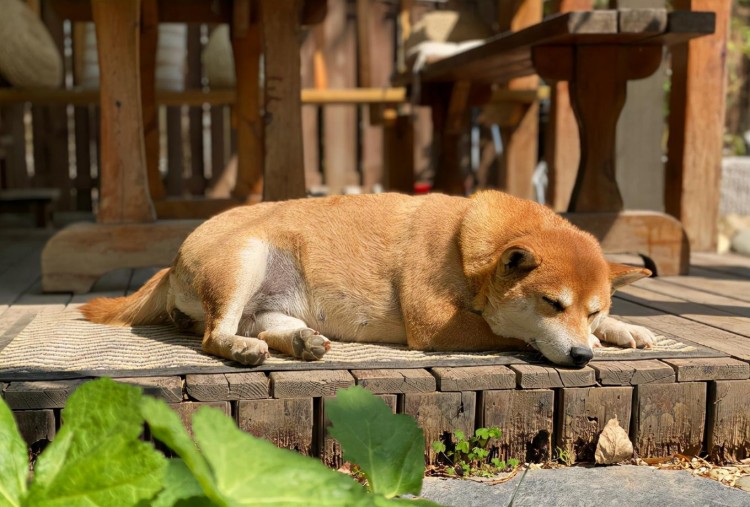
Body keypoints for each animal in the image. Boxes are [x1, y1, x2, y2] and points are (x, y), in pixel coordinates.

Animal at [82, 192, 656, 368]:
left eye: (594, 309)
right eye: (552, 304)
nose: (579, 357)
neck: (464, 243)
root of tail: (171, 260)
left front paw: (625, 329)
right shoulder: (434, 326)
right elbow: (506, 331)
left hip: (271, 299)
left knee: (263, 325)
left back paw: (301, 341)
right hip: (246, 258)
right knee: (212, 337)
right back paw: (242, 350)